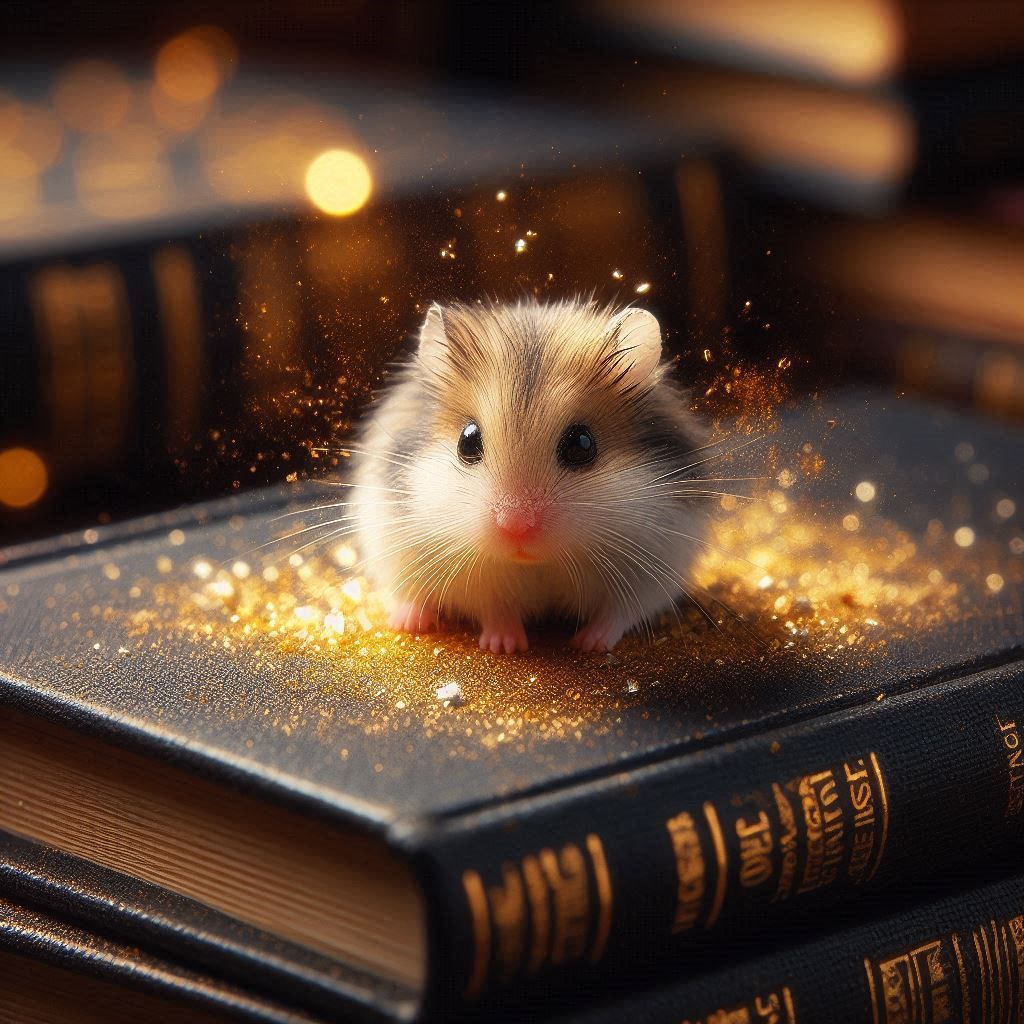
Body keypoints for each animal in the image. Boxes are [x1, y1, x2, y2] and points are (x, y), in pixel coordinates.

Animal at [351, 298, 710, 653]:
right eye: (467, 441)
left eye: (582, 445)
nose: (516, 526)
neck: (537, 564)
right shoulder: (477, 577)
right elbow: (495, 609)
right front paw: (505, 646)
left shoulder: (652, 568)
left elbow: (617, 614)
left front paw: (589, 644)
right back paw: (409, 622)